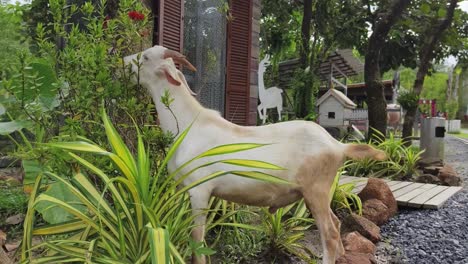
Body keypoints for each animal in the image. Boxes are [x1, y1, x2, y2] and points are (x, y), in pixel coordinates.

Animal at [122, 46, 386, 264]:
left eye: (146, 57)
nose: (123, 62)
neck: (189, 124)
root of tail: (337, 146)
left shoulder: (200, 190)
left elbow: (198, 240)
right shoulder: (181, 187)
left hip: (316, 190)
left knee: (329, 233)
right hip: (321, 192)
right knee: (337, 222)